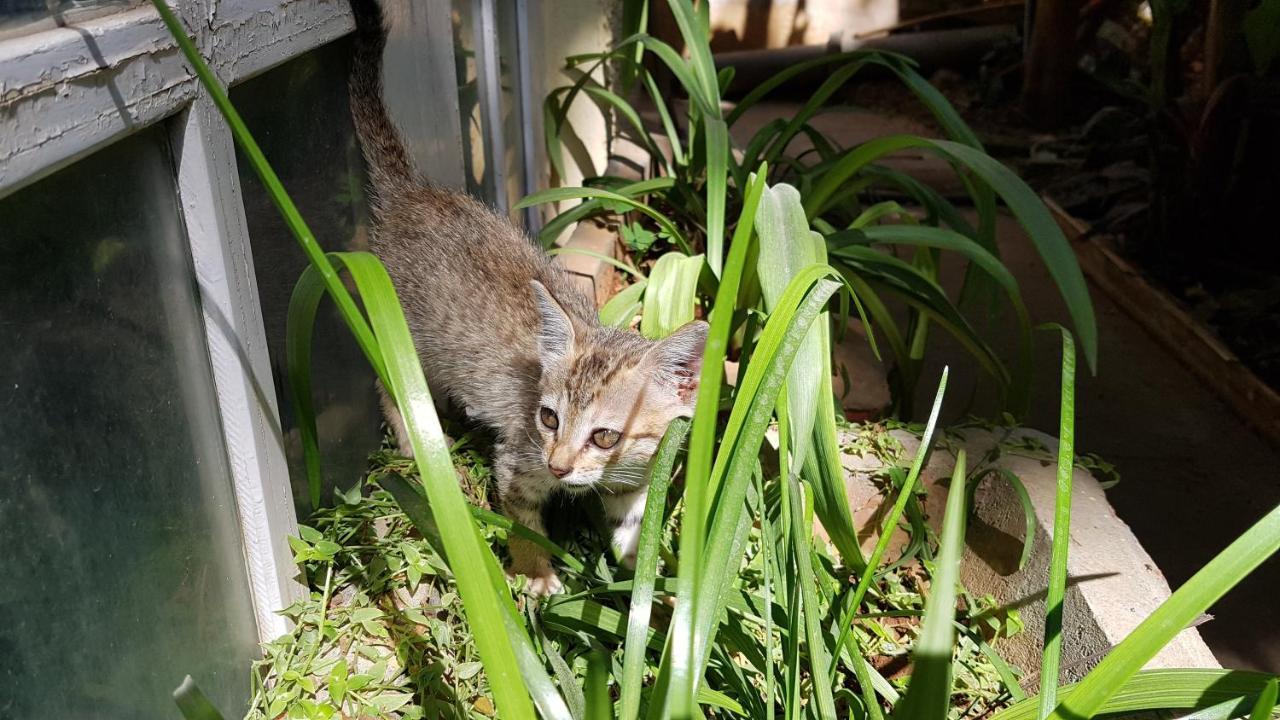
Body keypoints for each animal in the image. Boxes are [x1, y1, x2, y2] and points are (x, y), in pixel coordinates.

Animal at [350, 1, 706, 594]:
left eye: (605, 436)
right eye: (548, 419)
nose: (559, 465)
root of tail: (413, 192)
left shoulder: (635, 478)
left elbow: (632, 521)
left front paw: (646, 576)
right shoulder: (517, 463)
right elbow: (522, 521)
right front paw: (536, 571)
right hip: (405, 338)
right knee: (385, 383)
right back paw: (414, 437)